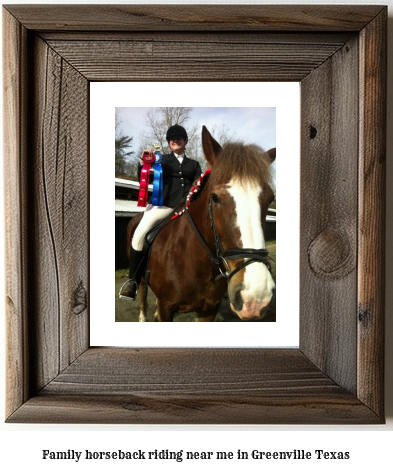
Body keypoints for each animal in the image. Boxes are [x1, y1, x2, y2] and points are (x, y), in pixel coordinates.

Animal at [127, 126, 274, 322]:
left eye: (270, 198)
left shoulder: (209, 310)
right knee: (142, 290)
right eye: (215, 198)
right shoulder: (167, 307)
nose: (255, 297)